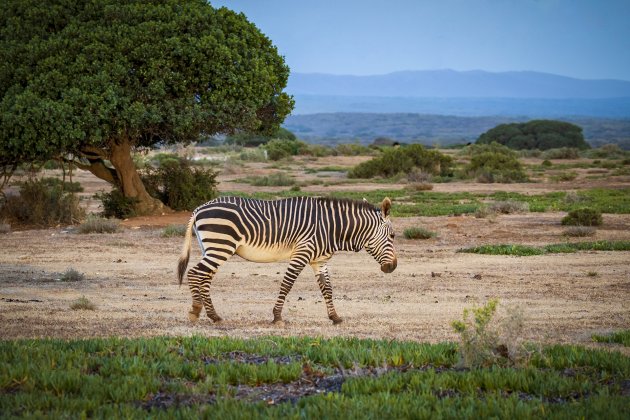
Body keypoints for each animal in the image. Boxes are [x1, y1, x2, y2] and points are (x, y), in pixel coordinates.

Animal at [175, 197, 398, 324]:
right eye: (393, 236)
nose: (393, 267)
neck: (332, 227)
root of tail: (199, 208)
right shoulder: (302, 253)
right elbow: (287, 284)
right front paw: (277, 317)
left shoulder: (319, 261)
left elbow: (327, 288)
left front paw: (335, 317)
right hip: (220, 246)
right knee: (195, 273)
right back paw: (198, 311)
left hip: (213, 247)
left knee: (204, 277)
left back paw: (211, 314)